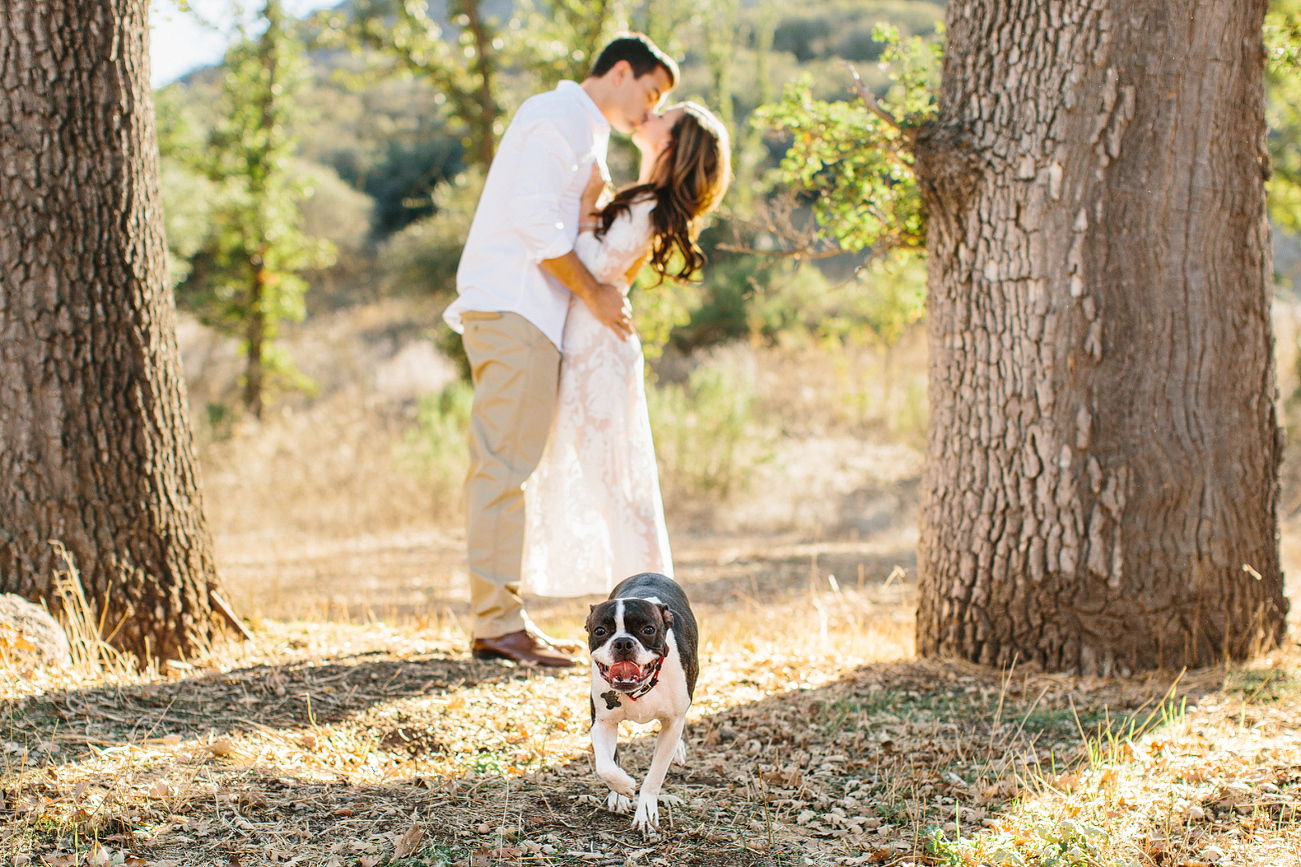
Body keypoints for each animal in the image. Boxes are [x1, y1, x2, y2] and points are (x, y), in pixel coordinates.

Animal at [585, 567, 697, 833]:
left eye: (648, 630)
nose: (623, 642)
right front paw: (621, 788)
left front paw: (645, 811)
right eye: (600, 631)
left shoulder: (672, 724)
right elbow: (605, 766)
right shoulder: (602, 722)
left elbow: (655, 775)